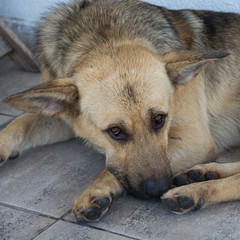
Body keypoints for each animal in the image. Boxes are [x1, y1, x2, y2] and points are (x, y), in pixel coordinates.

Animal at [0, 0, 240, 221]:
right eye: (115, 131)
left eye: (159, 119)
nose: (158, 189)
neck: (104, 37)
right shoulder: (64, 118)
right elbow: (20, 122)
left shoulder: (196, 141)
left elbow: (109, 169)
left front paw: (97, 190)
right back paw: (202, 173)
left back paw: (194, 190)